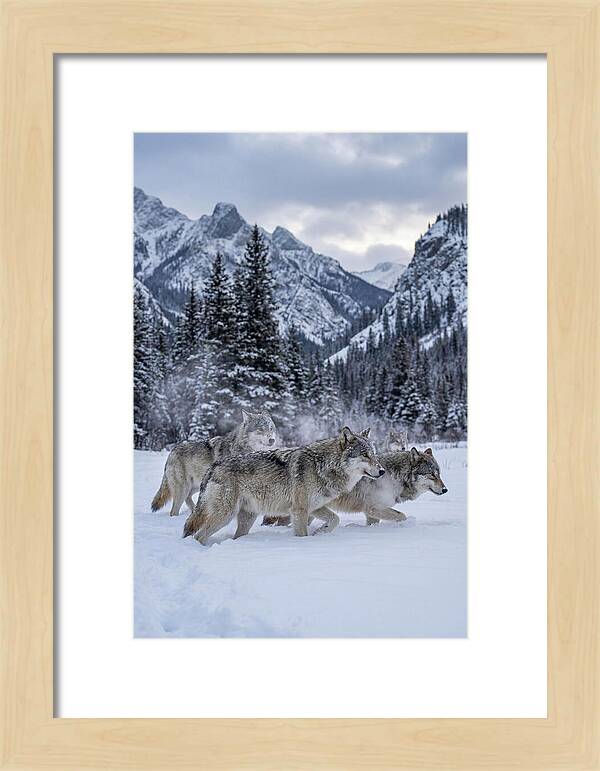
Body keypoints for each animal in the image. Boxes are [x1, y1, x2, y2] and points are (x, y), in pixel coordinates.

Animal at [182, 426, 385, 543]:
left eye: (374, 454)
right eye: (365, 455)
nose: (382, 471)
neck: (323, 465)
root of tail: (213, 467)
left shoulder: (315, 507)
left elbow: (335, 519)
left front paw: (321, 532)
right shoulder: (300, 510)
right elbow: (302, 533)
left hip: (247, 518)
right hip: (225, 515)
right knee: (199, 535)